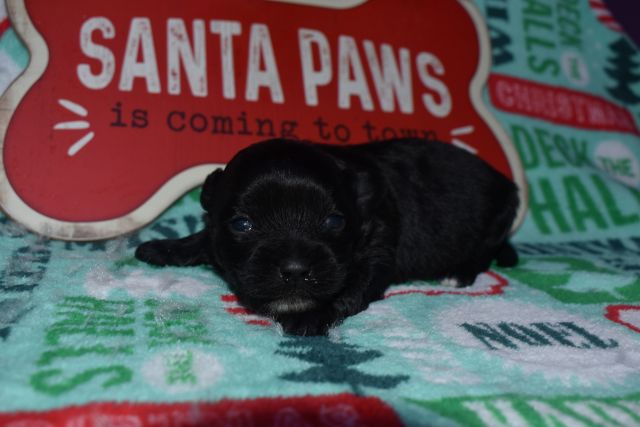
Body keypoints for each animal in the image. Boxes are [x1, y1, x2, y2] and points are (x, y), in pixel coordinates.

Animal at [135, 138, 519, 335]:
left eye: (334, 222)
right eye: (242, 224)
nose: (294, 270)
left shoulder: (379, 245)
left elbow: (352, 287)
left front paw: (308, 317)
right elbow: (206, 236)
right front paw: (166, 247)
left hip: (499, 218)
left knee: (484, 251)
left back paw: (459, 273)